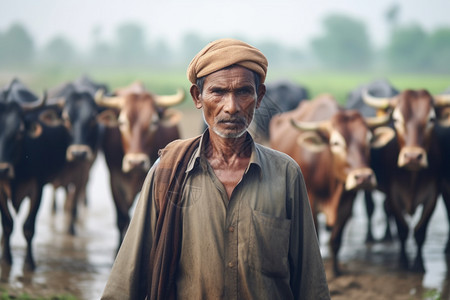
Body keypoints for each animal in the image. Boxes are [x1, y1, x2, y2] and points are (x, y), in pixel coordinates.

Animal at [0, 78, 69, 268]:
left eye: (19, 132)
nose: (2, 169)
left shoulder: (37, 188)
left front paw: (29, 263)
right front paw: (6, 259)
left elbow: (28, 227)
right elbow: (7, 225)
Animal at [46, 76, 108, 236]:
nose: (78, 153)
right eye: (67, 118)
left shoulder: (81, 173)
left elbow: (72, 206)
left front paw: (71, 231)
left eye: (92, 119)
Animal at [268, 95, 392, 276]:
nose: (363, 177)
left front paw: (335, 271)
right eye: (335, 143)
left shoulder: (347, 203)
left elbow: (336, 240)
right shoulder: (310, 201)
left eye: (368, 140)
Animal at [362, 88, 450, 272]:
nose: (412, 157)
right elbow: (402, 229)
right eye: (396, 119)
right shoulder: (394, 194)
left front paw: (418, 264)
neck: (412, 177)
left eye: (431, 119)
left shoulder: (433, 196)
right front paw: (403, 263)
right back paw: (371, 237)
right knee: (370, 208)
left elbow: (420, 231)